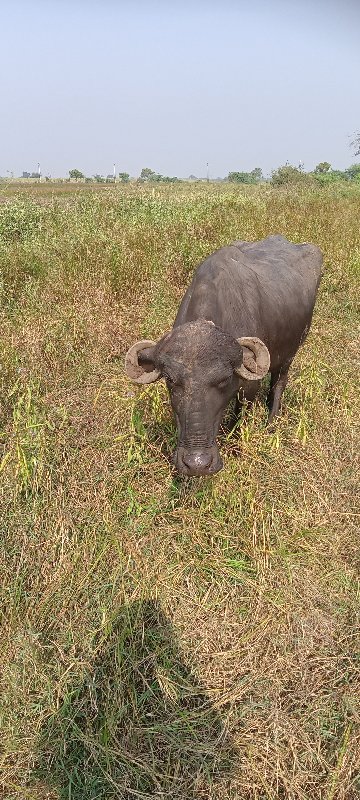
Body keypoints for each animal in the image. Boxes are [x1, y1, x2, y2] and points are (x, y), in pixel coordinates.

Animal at [125, 236, 322, 476]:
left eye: (224, 379)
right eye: (170, 380)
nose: (197, 464)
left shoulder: (248, 386)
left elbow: (239, 413)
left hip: (291, 352)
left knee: (279, 383)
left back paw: (271, 422)